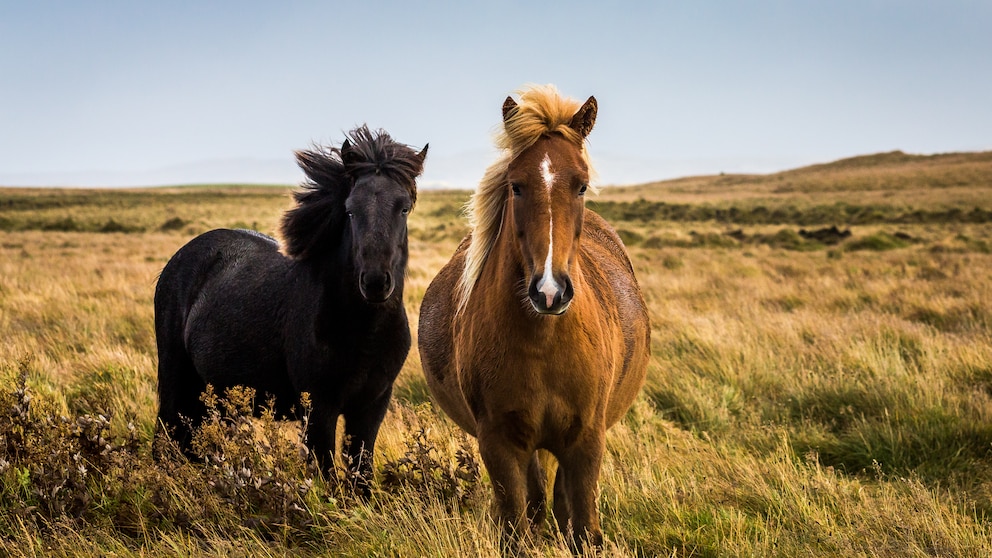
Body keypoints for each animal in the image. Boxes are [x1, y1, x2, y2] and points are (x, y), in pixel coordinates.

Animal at [154, 124, 426, 496]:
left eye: (404, 208)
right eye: (350, 209)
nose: (374, 282)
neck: (363, 331)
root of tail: (181, 257)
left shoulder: (371, 407)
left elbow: (361, 477)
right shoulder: (319, 409)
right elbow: (328, 479)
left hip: (218, 400)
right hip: (175, 379)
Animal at [418, 85, 652, 548]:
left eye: (581, 185)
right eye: (516, 186)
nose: (549, 291)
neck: (543, 341)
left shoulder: (586, 441)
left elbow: (584, 530)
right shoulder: (500, 444)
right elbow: (517, 524)